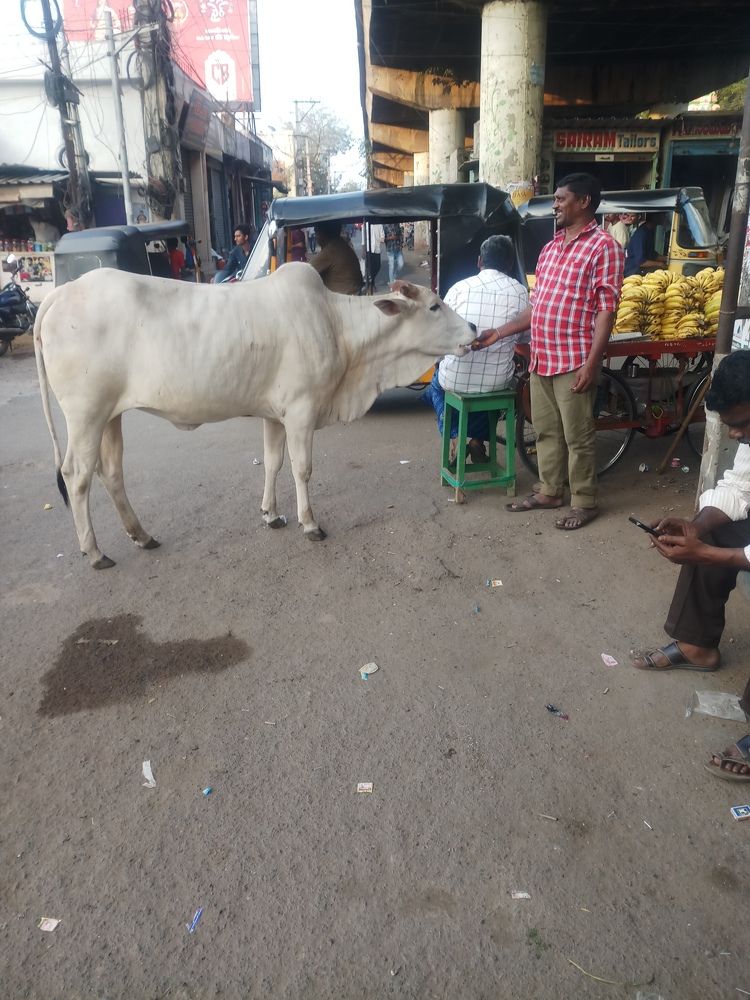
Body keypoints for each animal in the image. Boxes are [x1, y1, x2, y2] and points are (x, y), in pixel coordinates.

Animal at [34, 263, 476, 569]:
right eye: (434, 305)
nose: (473, 327)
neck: (337, 327)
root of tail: (63, 292)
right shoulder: (301, 410)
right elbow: (301, 468)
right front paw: (309, 523)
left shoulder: (275, 415)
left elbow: (272, 462)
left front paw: (272, 514)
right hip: (86, 414)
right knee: (76, 475)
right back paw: (94, 552)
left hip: (110, 415)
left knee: (111, 473)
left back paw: (141, 536)